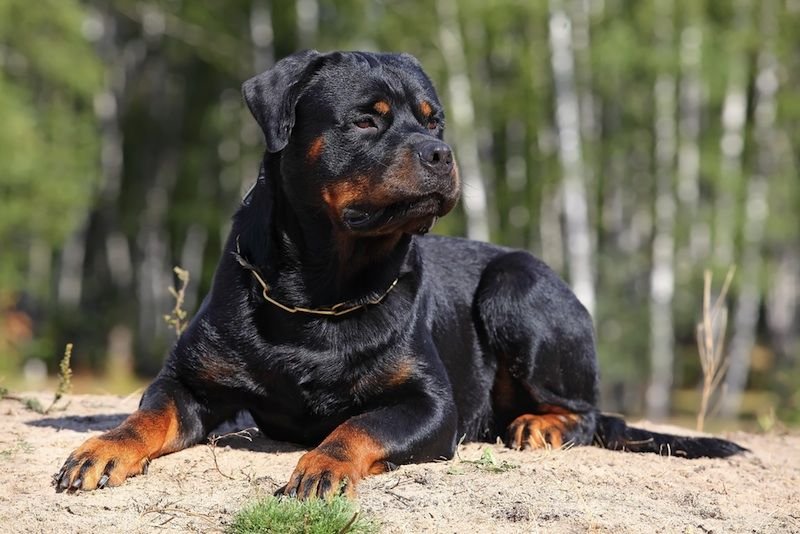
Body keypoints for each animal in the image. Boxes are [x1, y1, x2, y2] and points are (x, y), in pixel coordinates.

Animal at [54, 50, 744, 502]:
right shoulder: (190, 381)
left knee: (588, 412)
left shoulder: (429, 403)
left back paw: (538, 425)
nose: (442, 153)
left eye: (433, 120)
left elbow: (360, 424)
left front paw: (323, 463)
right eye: (368, 119)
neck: (322, 290)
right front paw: (103, 447)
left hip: (518, 287)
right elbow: (149, 413)